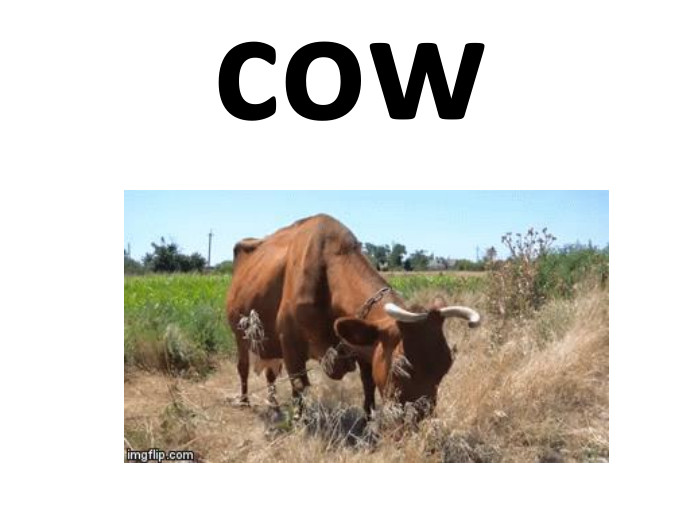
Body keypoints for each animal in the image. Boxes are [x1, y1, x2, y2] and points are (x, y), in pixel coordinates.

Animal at [226, 214, 480, 418]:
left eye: (446, 365)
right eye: (402, 367)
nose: (420, 415)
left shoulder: (363, 346)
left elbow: (368, 386)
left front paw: (369, 422)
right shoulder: (290, 345)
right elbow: (300, 388)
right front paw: (301, 422)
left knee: (270, 373)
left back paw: (275, 406)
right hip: (239, 334)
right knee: (243, 367)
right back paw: (246, 401)